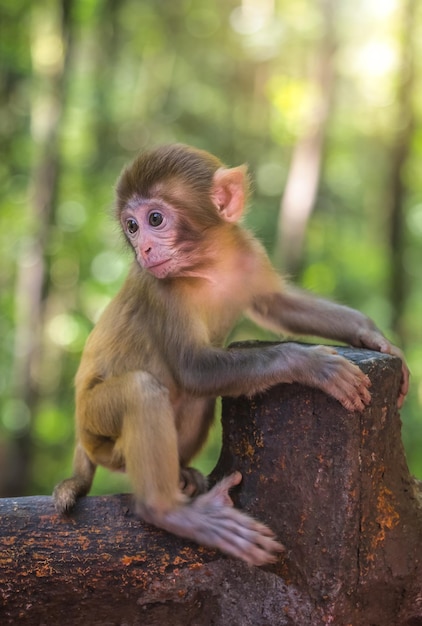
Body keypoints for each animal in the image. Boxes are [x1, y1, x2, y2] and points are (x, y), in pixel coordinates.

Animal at [53, 144, 408, 564]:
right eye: (132, 227)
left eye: (154, 219)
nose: (144, 249)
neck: (208, 263)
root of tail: (82, 433)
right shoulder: (159, 288)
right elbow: (193, 369)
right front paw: (312, 364)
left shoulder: (248, 253)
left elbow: (277, 306)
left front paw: (370, 334)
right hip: (97, 425)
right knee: (141, 389)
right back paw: (169, 510)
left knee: (194, 399)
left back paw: (182, 476)